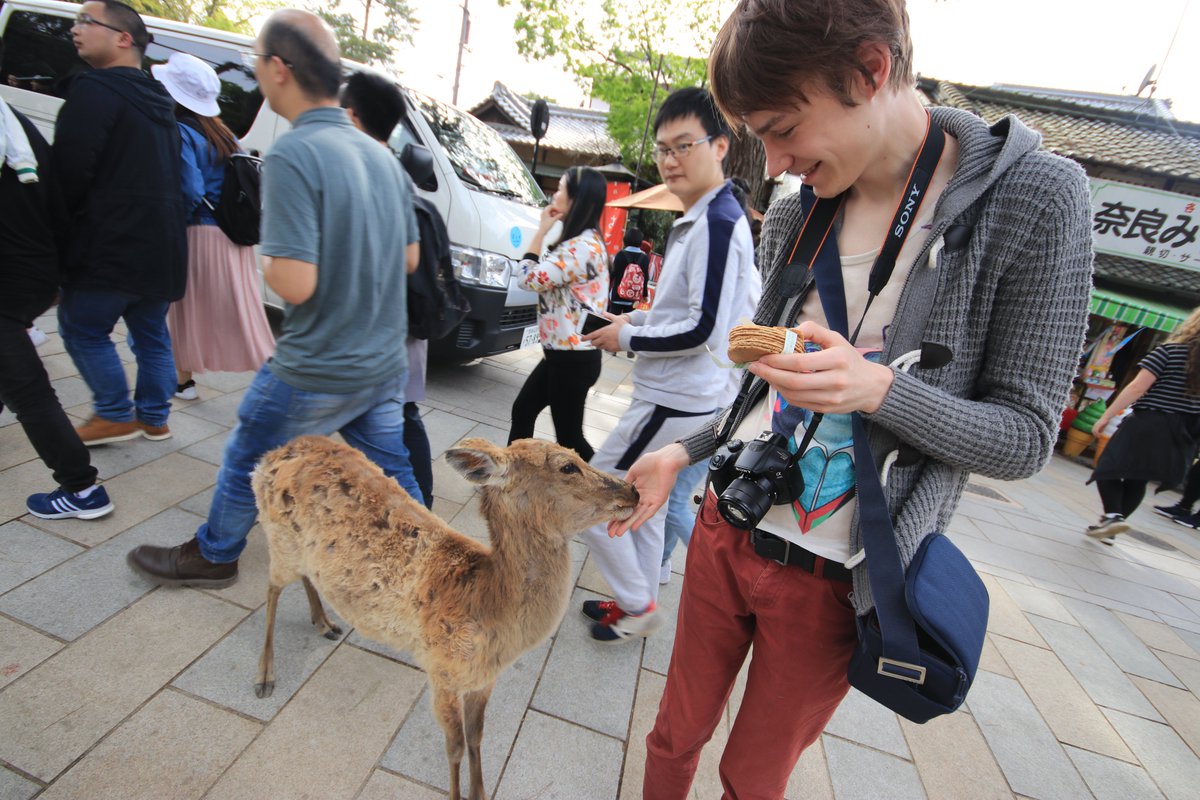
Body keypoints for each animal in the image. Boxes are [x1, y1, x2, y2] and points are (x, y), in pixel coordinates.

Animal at [250, 435, 639, 800]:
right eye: (568, 466)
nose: (632, 490)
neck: (488, 609)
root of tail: (271, 455)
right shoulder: (442, 670)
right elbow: (454, 746)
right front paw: (458, 793)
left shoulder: (484, 679)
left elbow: (477, 735)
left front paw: (480, 791)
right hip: (278, 535)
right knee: (271, 587)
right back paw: (265, 677)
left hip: (301, 550)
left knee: (304, 576)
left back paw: (324, 623)